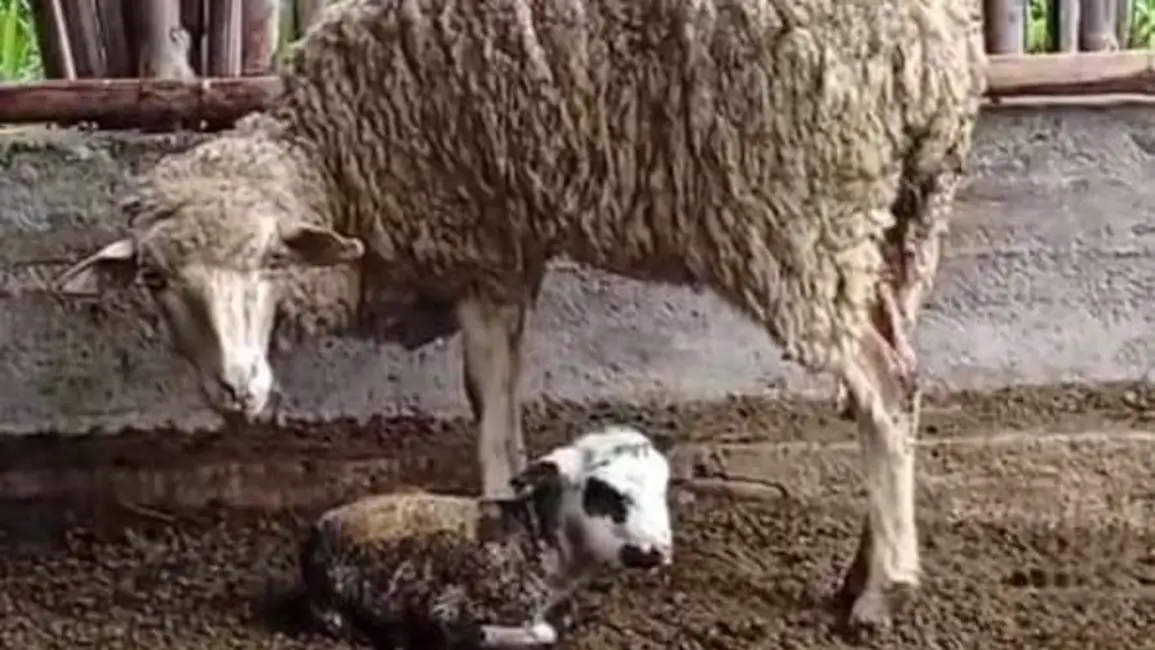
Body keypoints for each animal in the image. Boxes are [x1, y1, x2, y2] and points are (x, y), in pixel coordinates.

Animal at [299, 425, 674, 648]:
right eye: (603, 489)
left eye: (663, 487)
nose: (656, 551)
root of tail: (320, 527)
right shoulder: (450, 608)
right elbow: (537, 632)